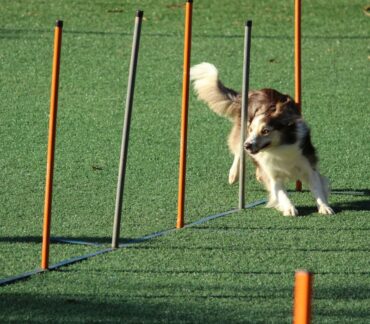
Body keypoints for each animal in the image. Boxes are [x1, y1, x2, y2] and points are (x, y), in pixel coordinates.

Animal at [191, 62, 336, 216]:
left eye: (265, 131)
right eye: (251, 130)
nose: (248, 145)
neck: (279, 148)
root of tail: (252, 93)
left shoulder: (308, 166)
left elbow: (317, 188)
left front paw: (324, 207)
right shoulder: (273, 174)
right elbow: (281, 193)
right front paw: (289, 208)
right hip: (241, 132)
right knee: (238, 150)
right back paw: (234, 174)